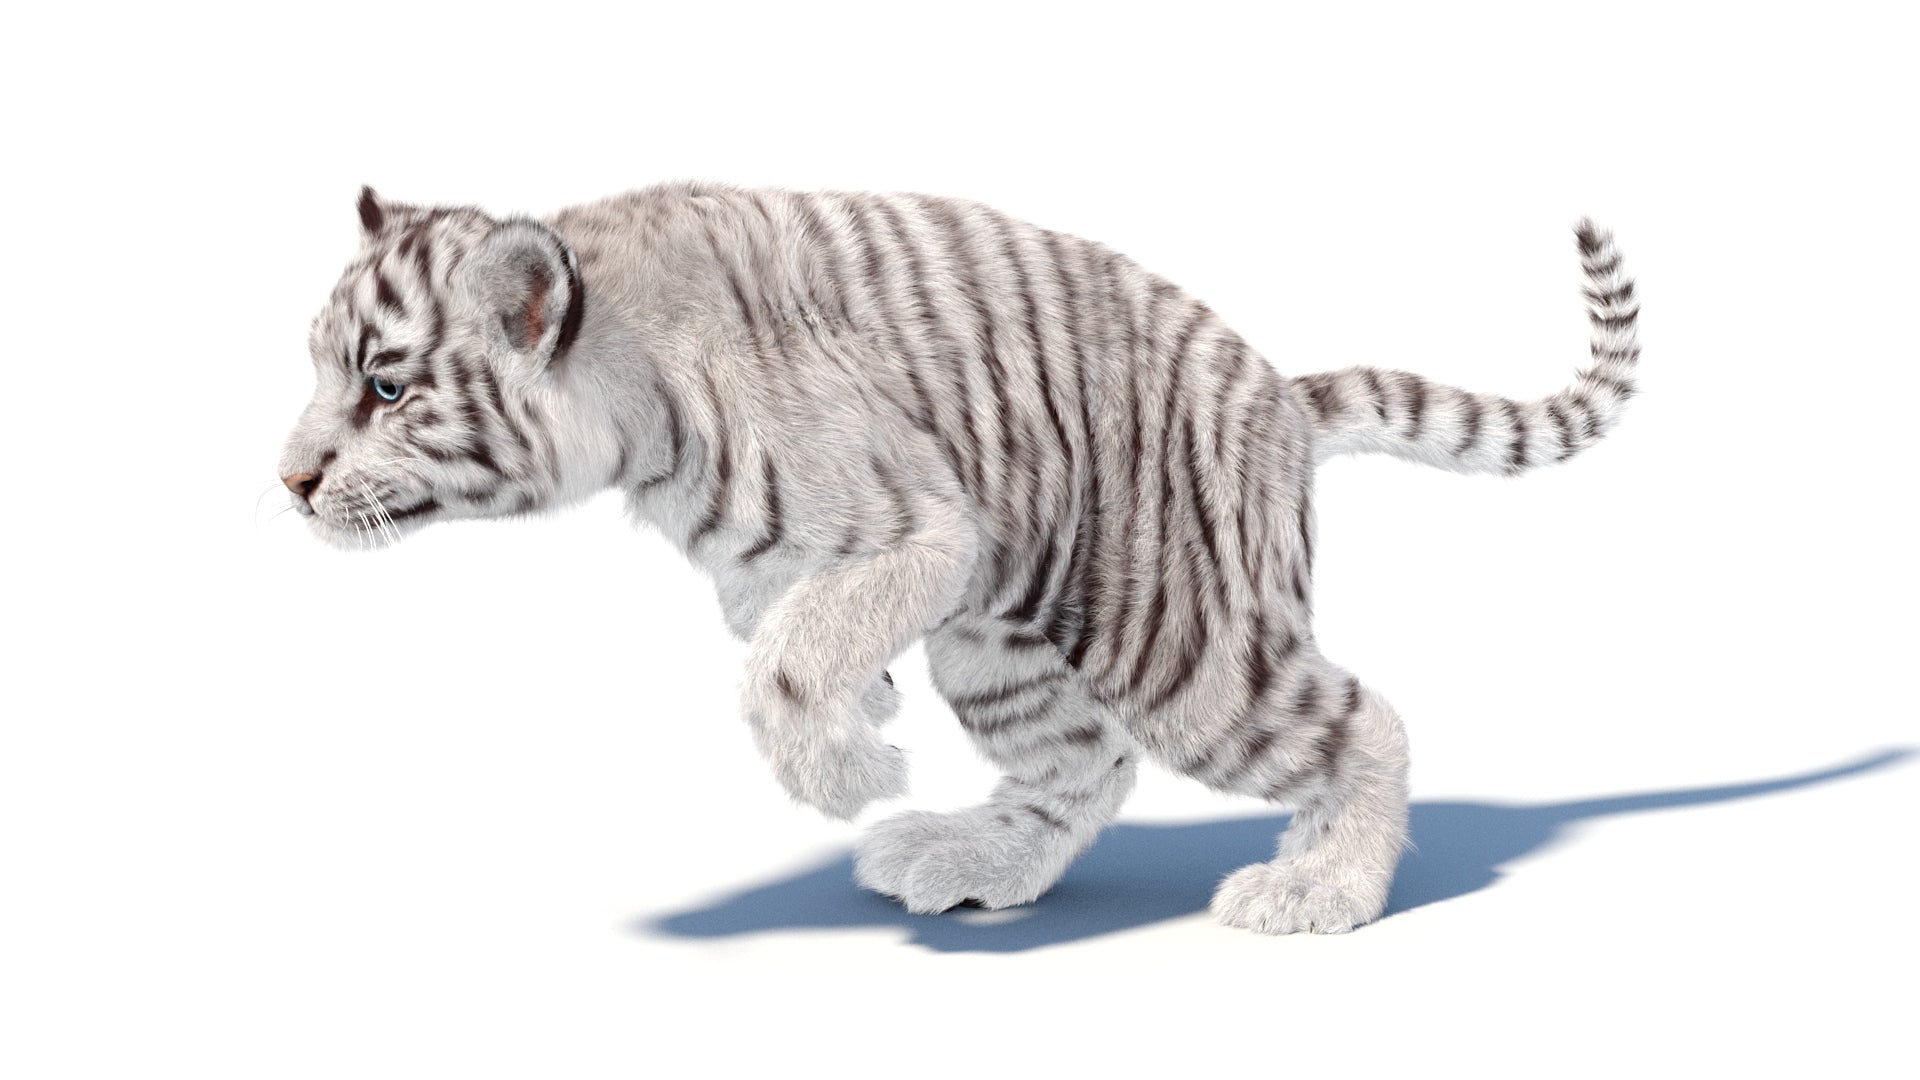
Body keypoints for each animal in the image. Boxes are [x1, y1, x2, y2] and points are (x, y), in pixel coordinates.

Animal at [279, 182, 1640, 934]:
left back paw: (1323, 891)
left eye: (386, 387)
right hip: (1004, 645)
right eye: (321, 368)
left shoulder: (929, 527)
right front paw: (870, 710)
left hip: (1181, 643)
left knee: (1365, 723)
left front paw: (849, 770)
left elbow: (784, 660)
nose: (288, 482)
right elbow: (776, 620)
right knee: (1086, 765)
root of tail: (1282, 399)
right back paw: (971, 861)